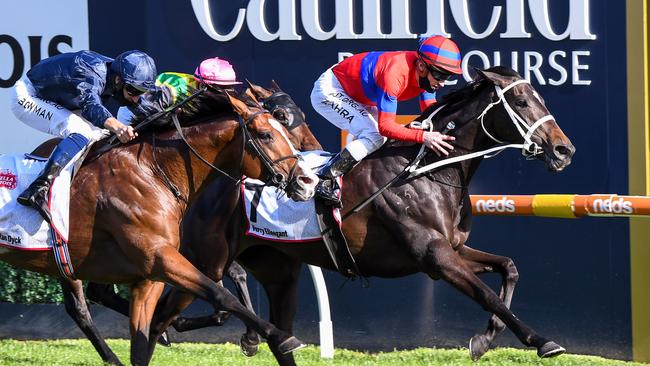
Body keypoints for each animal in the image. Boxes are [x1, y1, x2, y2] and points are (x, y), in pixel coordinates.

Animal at [0, 89, 316, 366]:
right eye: (266, 134)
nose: (307, 181)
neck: (153, 172)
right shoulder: (160, 258)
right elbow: (219, 294)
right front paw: (280, 337)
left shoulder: (148, 278)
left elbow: (142, 344)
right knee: (81, 309)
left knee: (83, 306)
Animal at [144, 66, 576, 366]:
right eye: (521, 102)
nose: (563, 150)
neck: (426, 170)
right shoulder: (434, 257)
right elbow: (487, 295)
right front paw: (542, 341)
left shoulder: (453, 248)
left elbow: (508, 268)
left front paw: (485, 341)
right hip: (208, 260)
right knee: (169, 309)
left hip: (276, 266)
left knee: (276, 335)